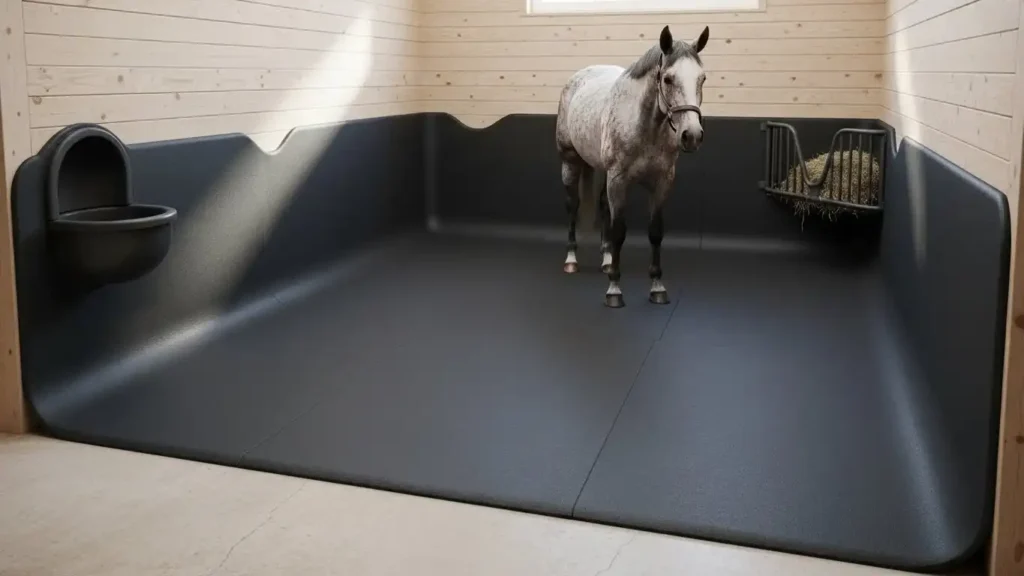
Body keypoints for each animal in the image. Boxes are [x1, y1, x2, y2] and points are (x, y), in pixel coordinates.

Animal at [555, 25, 709, 308]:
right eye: (668, 79)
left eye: (702, 78)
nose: (692, 135)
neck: (646, 125)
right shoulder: (619, 180)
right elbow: (619, 232)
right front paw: (614, 290)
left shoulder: (662, 181)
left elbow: (655, 231)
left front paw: (657, 287)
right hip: (570, 163)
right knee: (573, 207)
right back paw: (571, 260)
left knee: (603, 207)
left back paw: (607, 260)